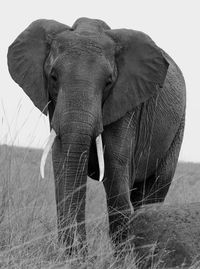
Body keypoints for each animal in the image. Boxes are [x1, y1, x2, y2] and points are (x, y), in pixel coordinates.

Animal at [7, 17, 186, 253]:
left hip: (178, 128)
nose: (79, 252)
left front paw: (118, 259)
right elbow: (63, 168)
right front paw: (74, 256)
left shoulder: (126, 105)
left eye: (109, 82)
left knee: (154, 191)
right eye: (53, 77)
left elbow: (115, 173)